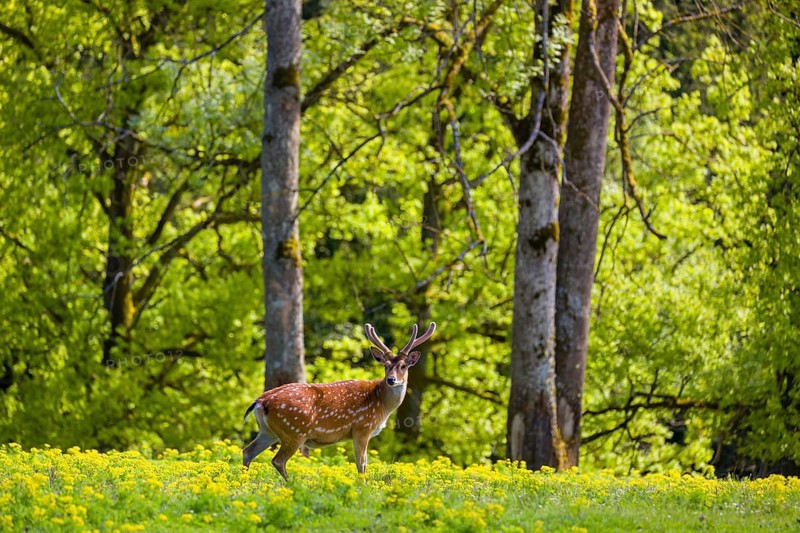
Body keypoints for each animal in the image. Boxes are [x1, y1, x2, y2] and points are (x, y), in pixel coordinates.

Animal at [242, 321, 436, 480]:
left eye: (403, 366)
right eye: (385, 366)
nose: (391, 380)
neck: (382, 404)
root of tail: (261, 401)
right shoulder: (362, 427)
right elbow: (362, 464)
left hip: (268, 431)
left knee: (247, 452)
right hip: (294, 431)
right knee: (278, 460)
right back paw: (292, 483)